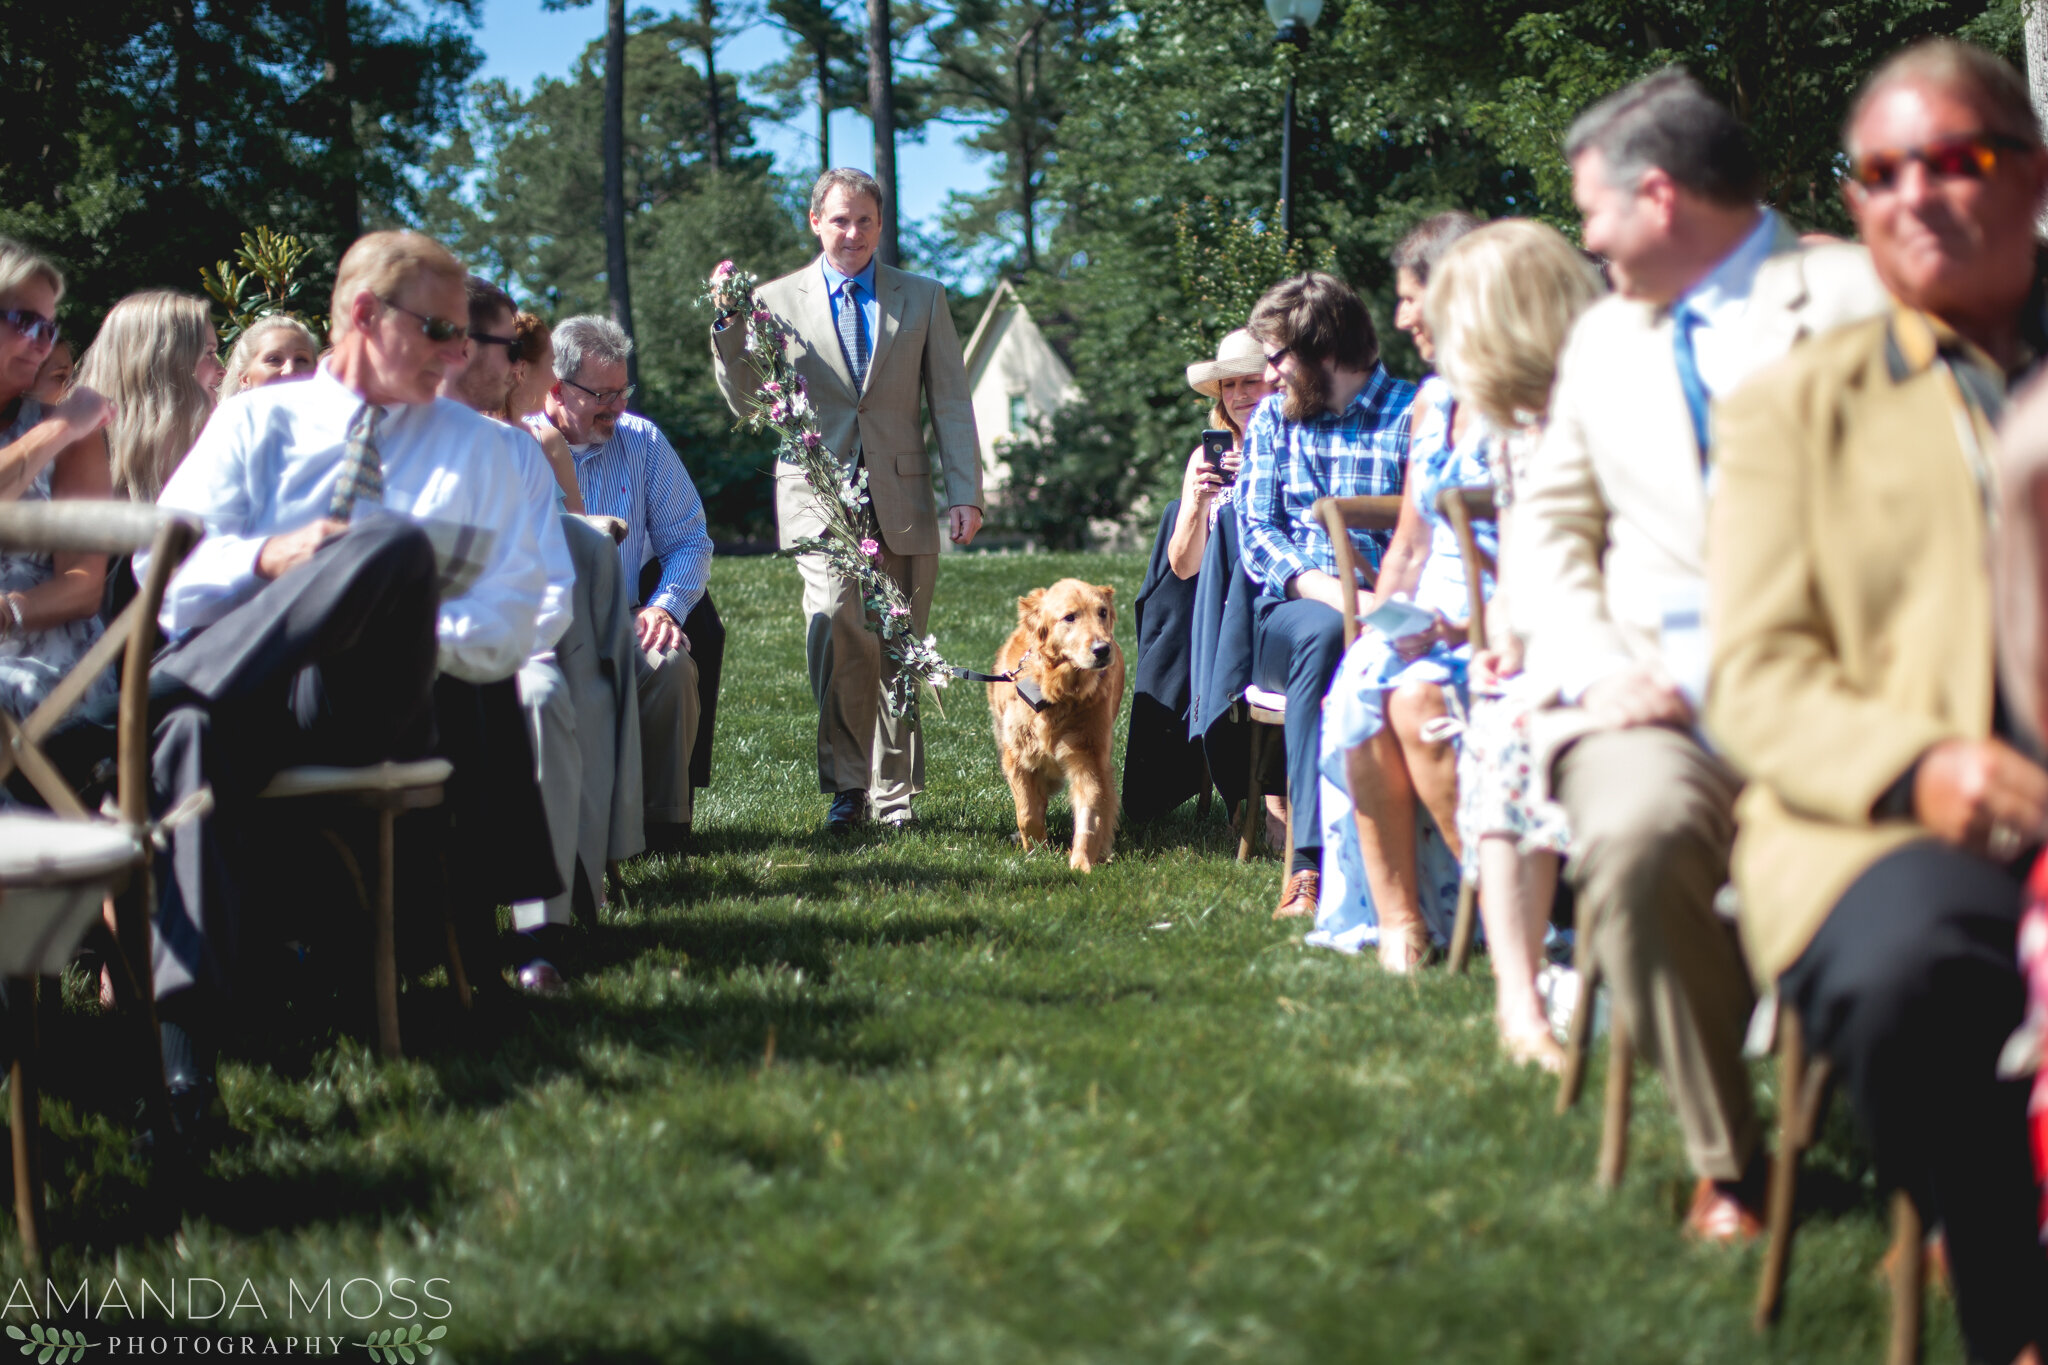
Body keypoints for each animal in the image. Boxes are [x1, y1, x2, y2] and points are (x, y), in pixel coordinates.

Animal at [987, 581, 1130, 875]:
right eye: (1069, 617)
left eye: (1102, 612)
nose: (1103, 649)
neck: (1060, 691)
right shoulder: (1017, 757)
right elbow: (1027, 812)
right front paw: (1037, 851)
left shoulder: (1089, 758)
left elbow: (1090, 813)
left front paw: (1082, 864)